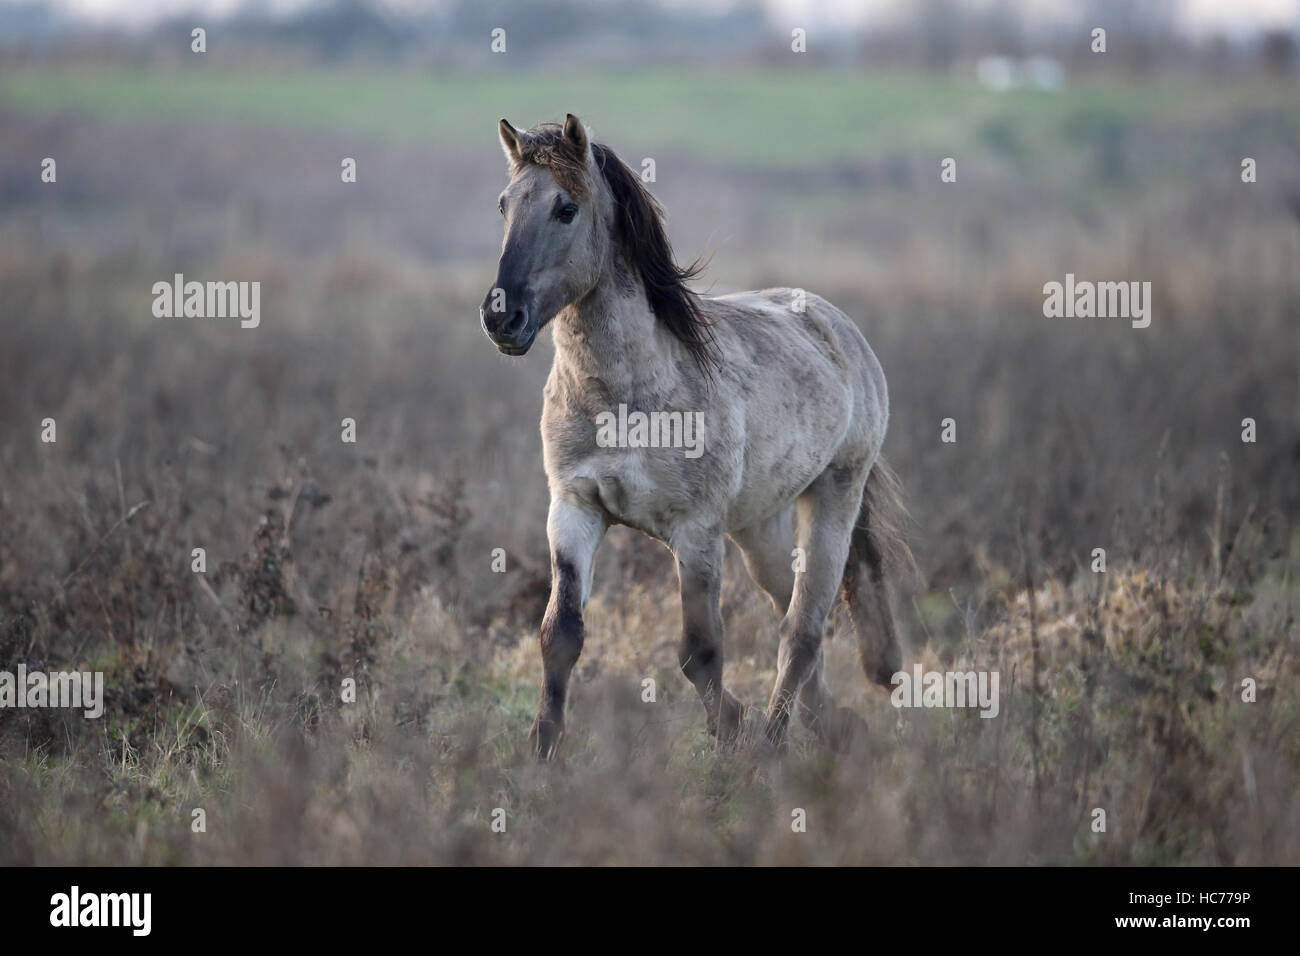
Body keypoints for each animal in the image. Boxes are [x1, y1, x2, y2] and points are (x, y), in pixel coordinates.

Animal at [478, 111, 904, 759]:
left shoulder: (696, 531)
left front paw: (730, 732)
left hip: (834, 498)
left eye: (565, 209)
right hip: (760, 527)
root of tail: (839, 328)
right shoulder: (573, 510)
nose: (503, 317)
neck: (625, 396)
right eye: (504, 205)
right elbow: (561, 635)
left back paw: (771, 746)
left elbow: (700, 652)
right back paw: (829, 726)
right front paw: (540, 755)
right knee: (791, 613)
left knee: (803, 627)